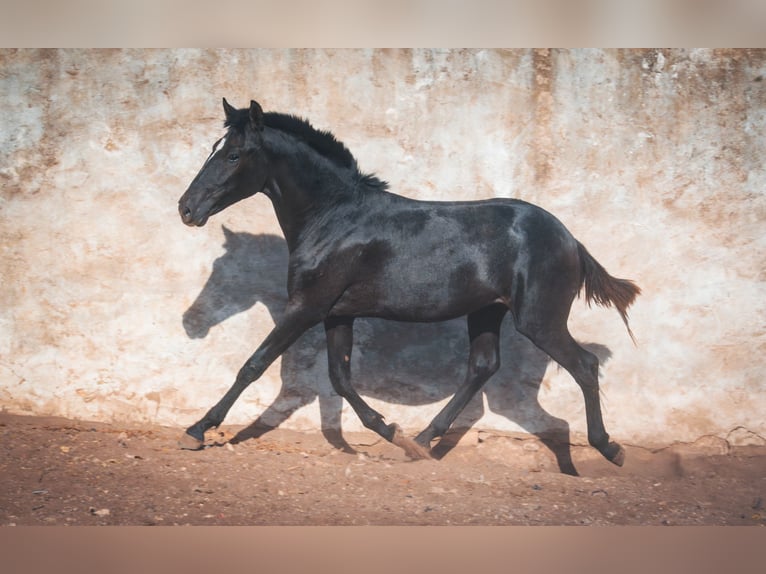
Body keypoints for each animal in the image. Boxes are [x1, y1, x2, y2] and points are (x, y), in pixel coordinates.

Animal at [177, 99, 640, 468]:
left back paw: (609, 449)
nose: (186, 208)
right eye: (215, 148)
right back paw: (422, 441)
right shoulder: (337, 314)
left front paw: (197, 430)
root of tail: (570, 239)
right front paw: (393, 433)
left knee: (584, 365)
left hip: (538, 320)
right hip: (486, 312)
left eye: (234, 155)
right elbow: (340, 379)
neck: (334, 218)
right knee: (483, 366)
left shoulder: (308, 306)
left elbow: (254, 364)